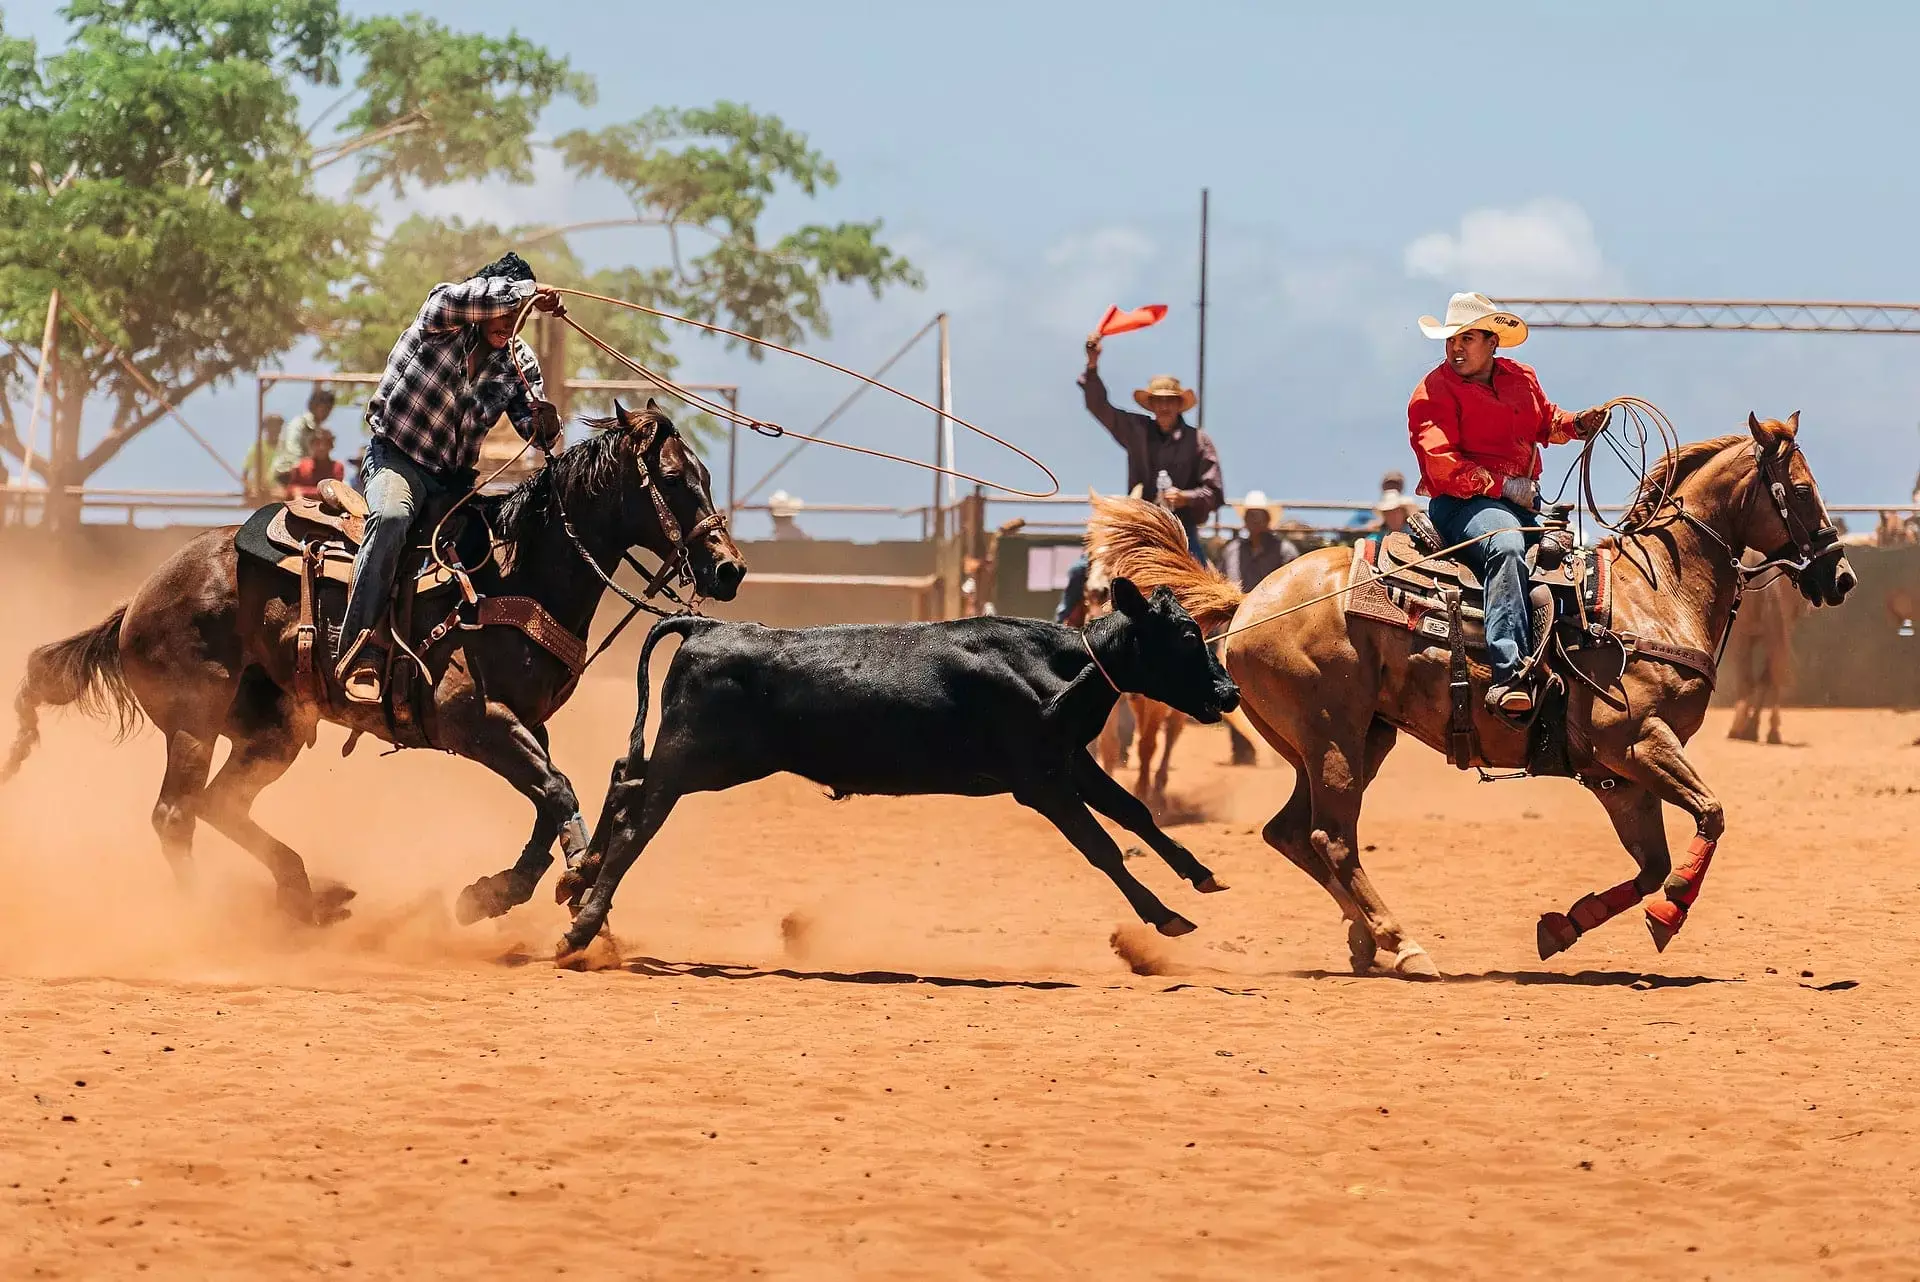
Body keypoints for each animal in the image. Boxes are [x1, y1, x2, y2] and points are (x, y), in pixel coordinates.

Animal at [1, 404, 741, 925]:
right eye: (673, 479)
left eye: (706, 476)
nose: (729, 569)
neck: (513, 572)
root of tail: (138, 599)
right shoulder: (469, 717)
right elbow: (556, 790)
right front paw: (555, 882)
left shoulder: (526, 722)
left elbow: (550, 795)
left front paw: (498, 892)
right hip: (194, 721)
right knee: (176, 815)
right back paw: (209, 917)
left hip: (274, 728)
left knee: (219, 804)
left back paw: (306, 899)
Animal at [560, 579, 1236, 951]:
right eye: (1183, 635)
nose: (1228, 693)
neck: (1053, 664)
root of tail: (708, 627)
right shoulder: (1039, 782)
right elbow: (1104, 848)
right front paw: (1166, 917)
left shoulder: (1070, 762)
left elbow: (1136, 813)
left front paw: (1201, 873)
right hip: (695, 759)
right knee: (637, 822)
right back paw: (582, 926)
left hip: (705, 762)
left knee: (624, 778)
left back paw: (578, 878)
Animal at [1098, 416, 1858, 974]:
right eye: (1802, 488)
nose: (1841, 575)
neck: (1657, 591)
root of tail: (1249, 602)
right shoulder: (1638, 743)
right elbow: (1710, 816)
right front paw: (1669, 916)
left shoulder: (1619, 777)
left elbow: (1652, 864)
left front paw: (1561, 927)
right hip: (1333, 738)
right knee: (1330, 838)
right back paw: (1402, 944)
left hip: (1350, 741)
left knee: (1293, 833)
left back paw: (1365, 940)